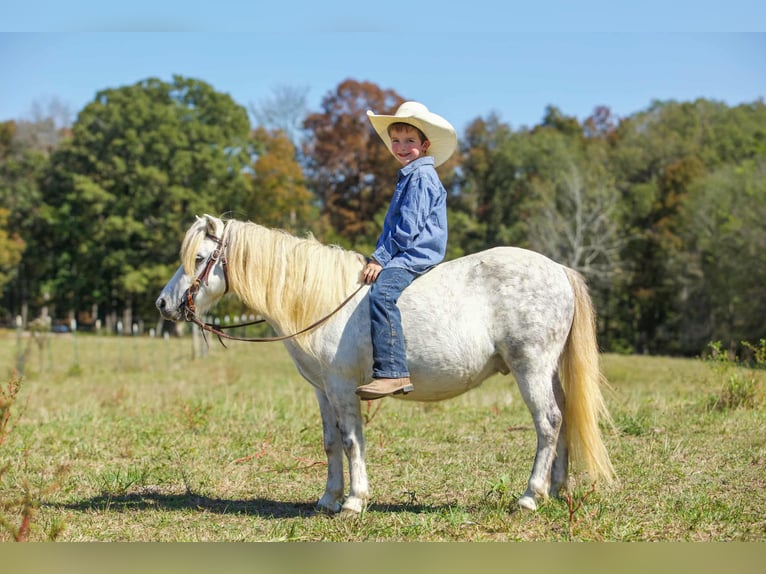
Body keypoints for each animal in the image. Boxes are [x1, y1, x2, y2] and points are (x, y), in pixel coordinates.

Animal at [156, 214, 615, 514]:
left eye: (200, 258)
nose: (163, 304)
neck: (322, 301)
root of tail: (558, 269)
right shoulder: (322, 390)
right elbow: (330, 442)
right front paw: (328, 499)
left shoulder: (343, 387)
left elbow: (352, 441)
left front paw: (354, 502)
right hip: (548, 371)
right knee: (565, 417)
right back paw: (557, 489)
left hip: (530, 368)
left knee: (548, 422)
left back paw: (531, 496)